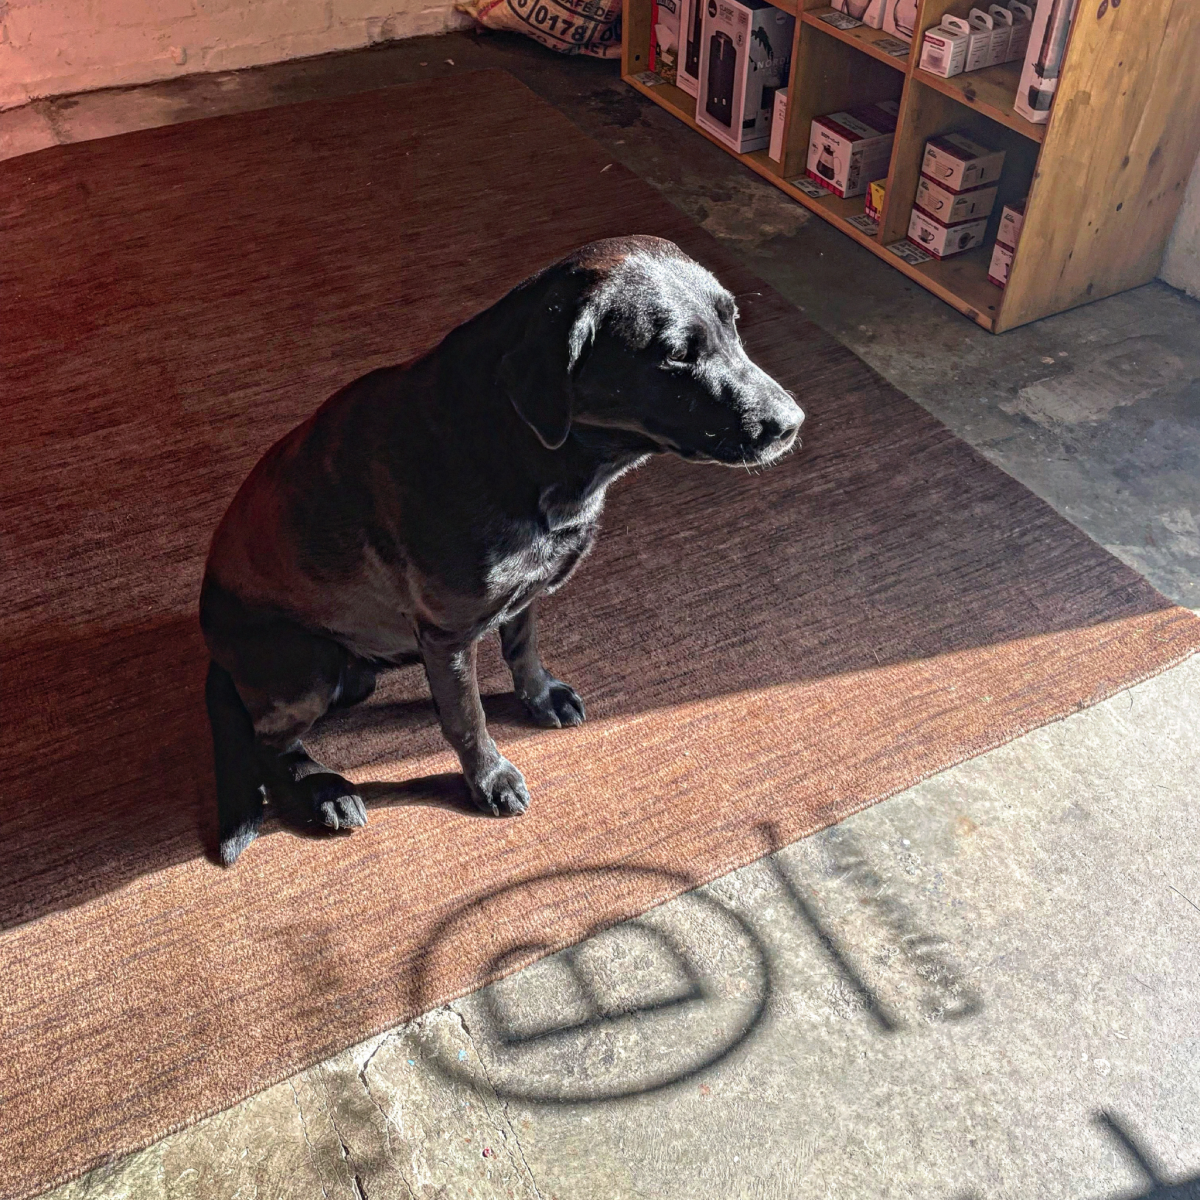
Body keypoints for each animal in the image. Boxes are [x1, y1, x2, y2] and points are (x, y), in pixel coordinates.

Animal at [201, 236, 801, 864]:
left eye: (734, 321)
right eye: (677, 356)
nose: (793, 423)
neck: (534, 453)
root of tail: (214, 651)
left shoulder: (523, 595)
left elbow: (522, 649)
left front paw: (541, 698)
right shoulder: (447, 636)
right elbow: (466, 718)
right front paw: (489, 779)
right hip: (308, 664)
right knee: (268, 742)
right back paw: (325, 792)